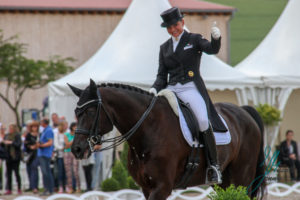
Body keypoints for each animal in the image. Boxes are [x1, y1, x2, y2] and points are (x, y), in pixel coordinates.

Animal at [68, 79, 264, 200]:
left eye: (90, 112)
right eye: (76, 112)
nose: (76, 149)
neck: (149, 128)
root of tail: (243, 111)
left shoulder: (162, 187)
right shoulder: (146, 187)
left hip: (242, 178)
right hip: (223, 182)